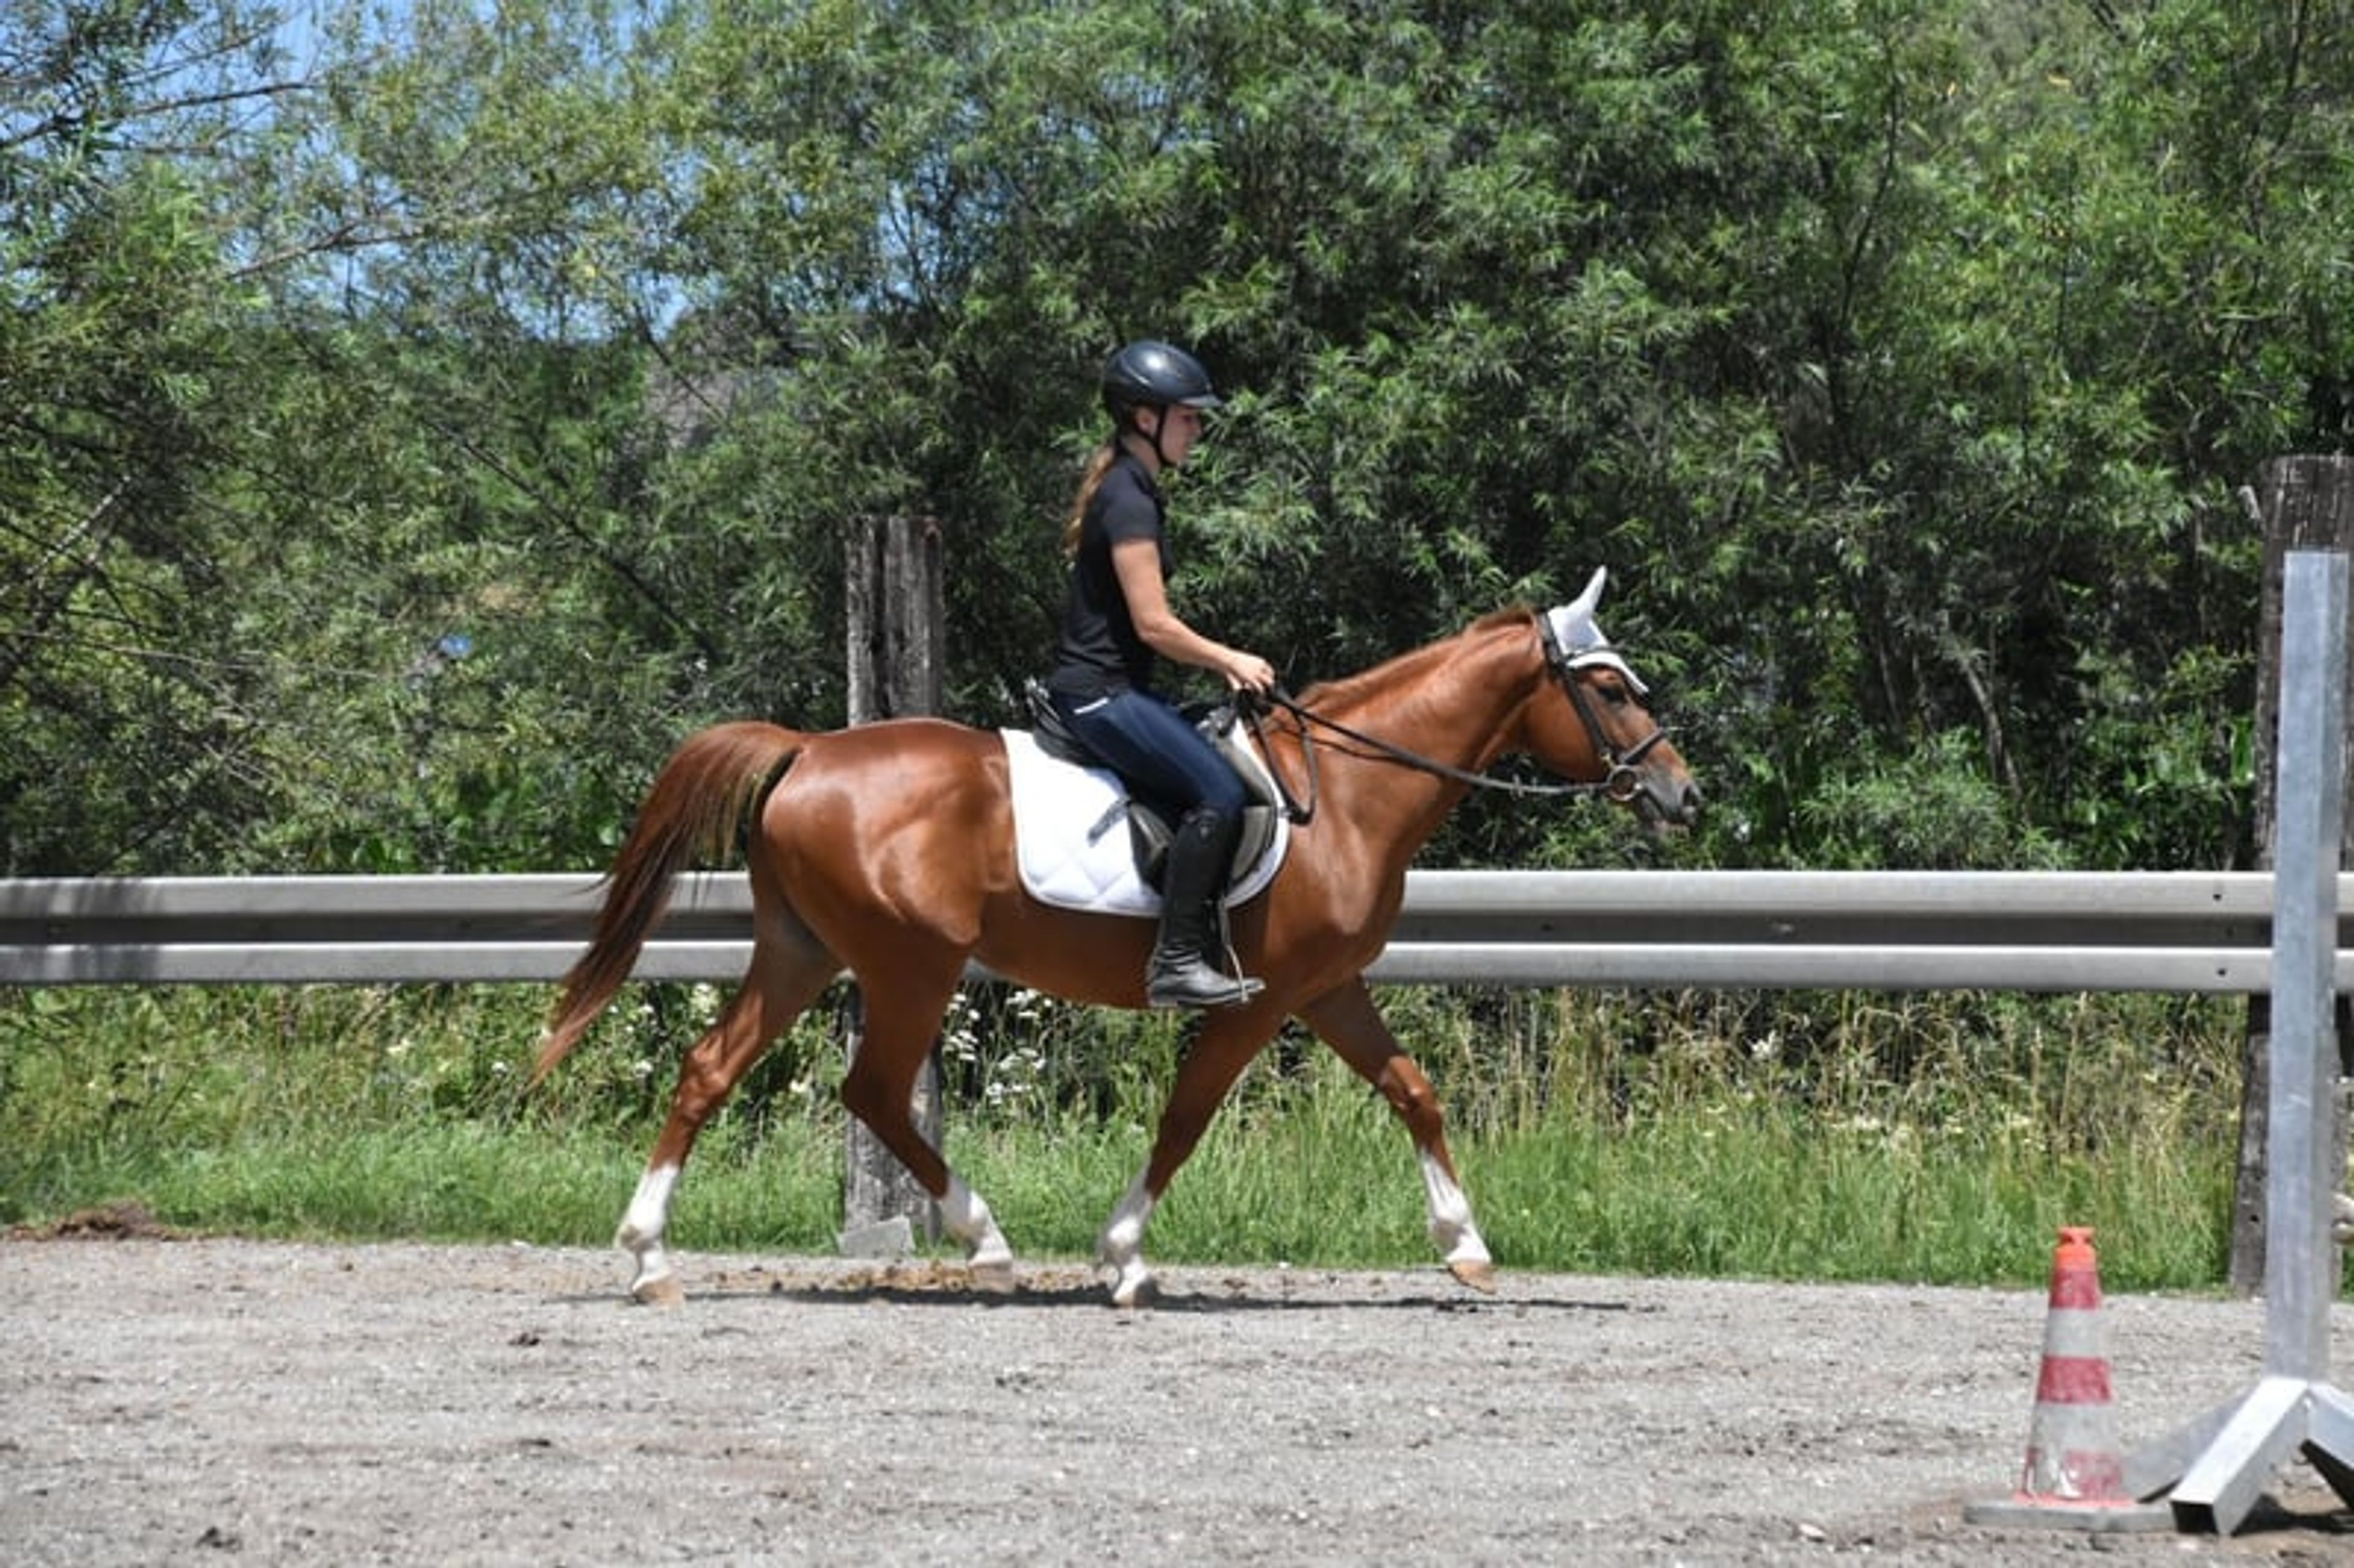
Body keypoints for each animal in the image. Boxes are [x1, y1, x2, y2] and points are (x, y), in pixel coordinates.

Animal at [536, 569, 1699, 1307]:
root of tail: (809, 751)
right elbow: (1185, 1119)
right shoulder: (1265, 998)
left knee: (710, 1068)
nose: (1680, 795)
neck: (1353, 791)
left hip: (804, 952)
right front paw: (1125, 1256)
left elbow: (1414, 1089)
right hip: (911, 965)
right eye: (1606, 685)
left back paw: (648, 1258)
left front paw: (1467, 1246)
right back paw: (986, 1240)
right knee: (872, 1090)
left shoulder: (1329, 988)